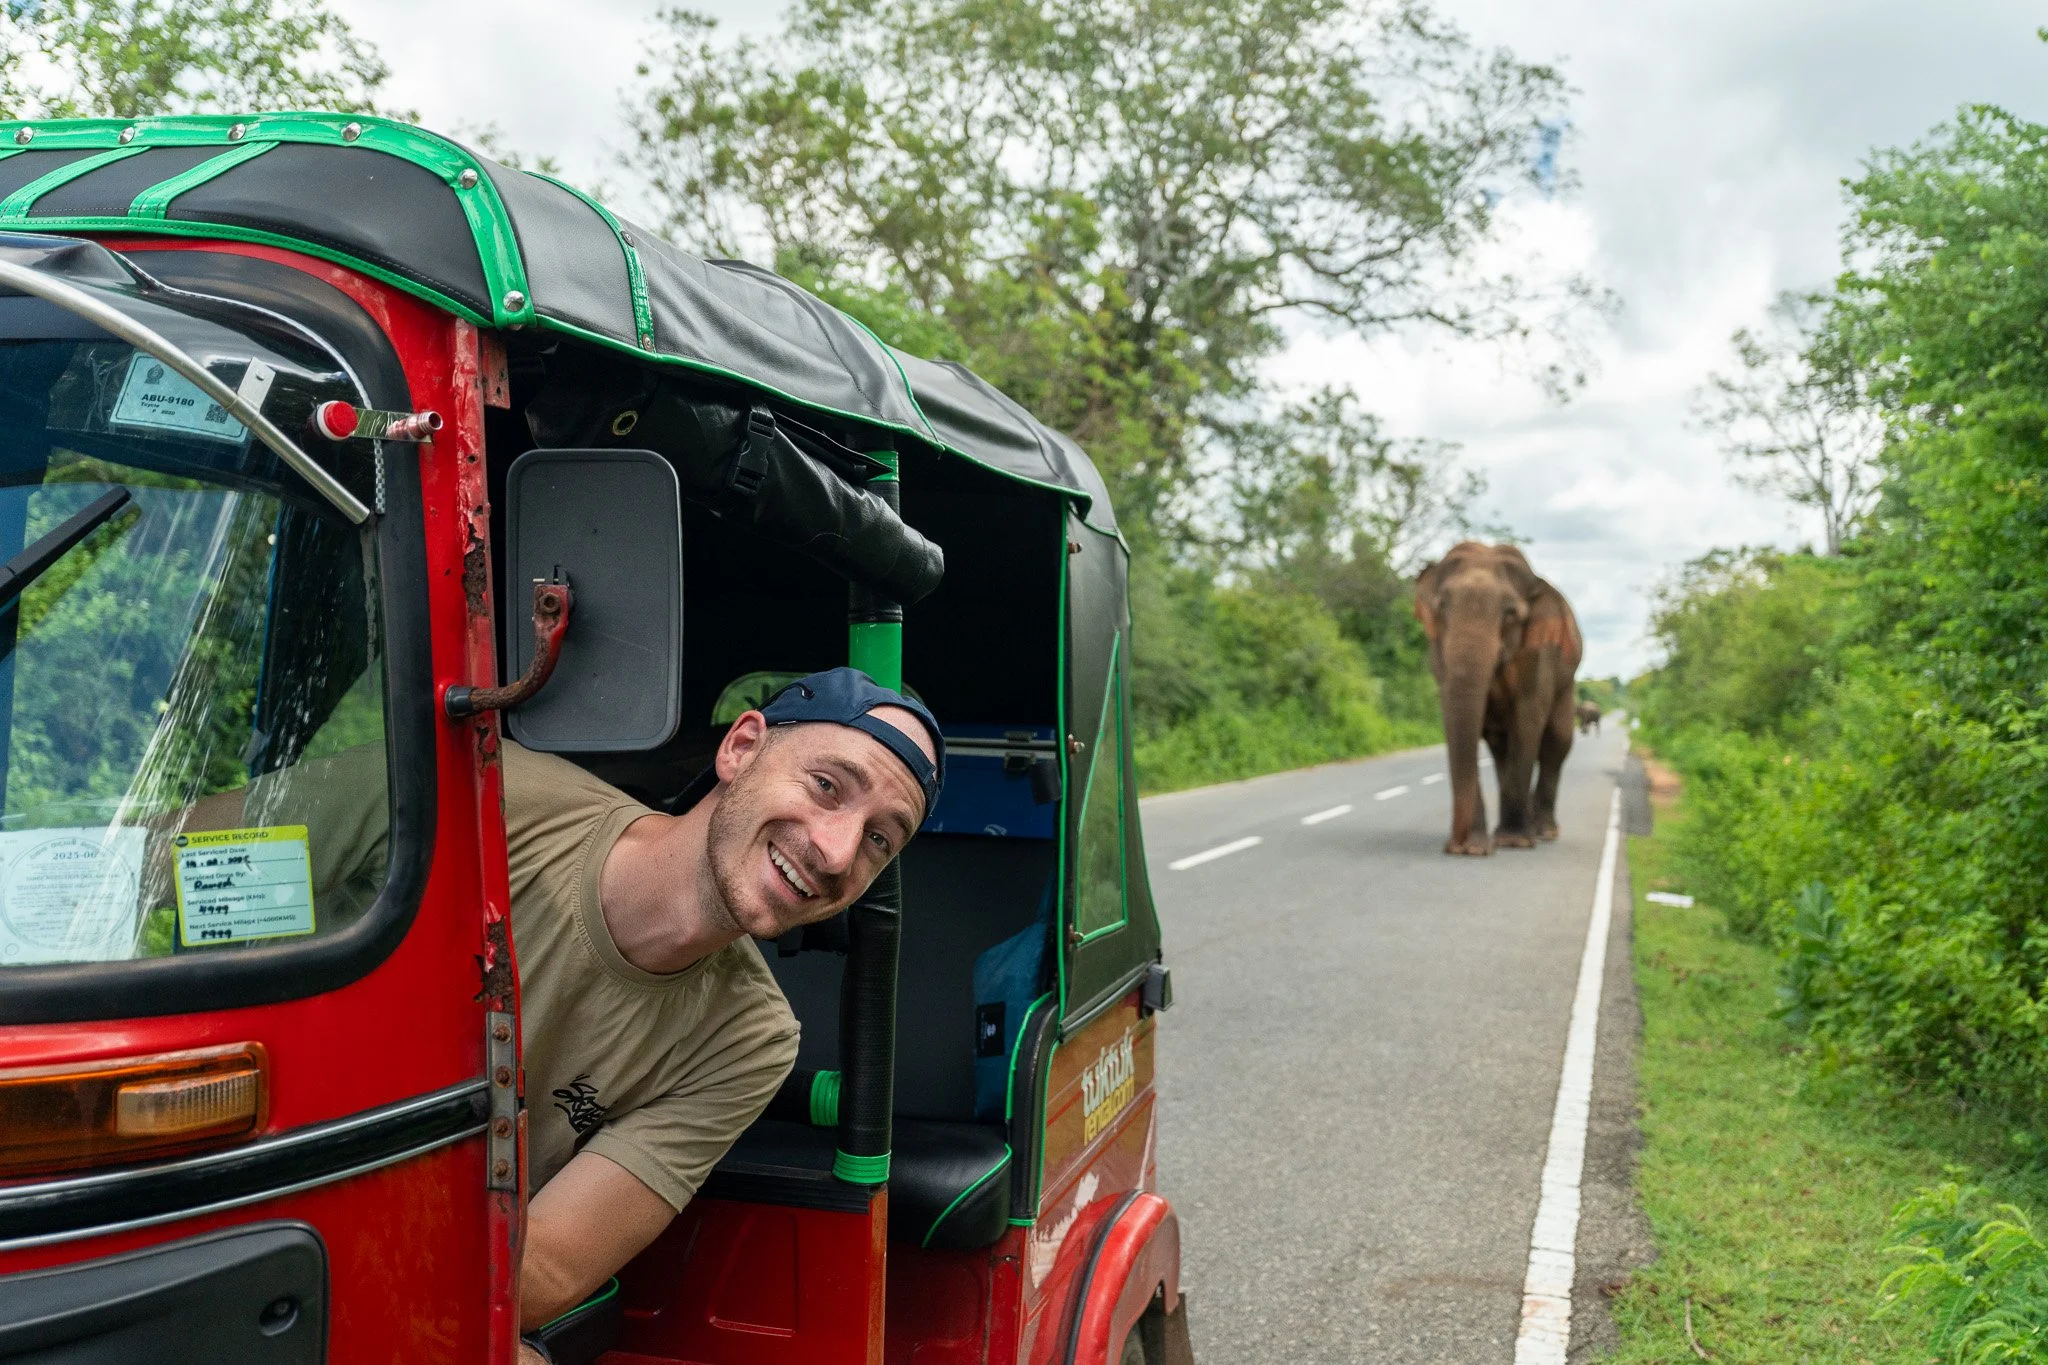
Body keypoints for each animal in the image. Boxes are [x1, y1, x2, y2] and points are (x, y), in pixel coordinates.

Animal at [1414, 542, 1584, 856]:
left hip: (1567, 681)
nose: (1454, 845)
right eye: (1442, 607)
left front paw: (1514, 842)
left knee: (1557, 742)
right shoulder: (1438, 651)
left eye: (1510, 614)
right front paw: (1475, 849)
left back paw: (1542, 832)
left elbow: (1527, 721)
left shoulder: (1538, 653)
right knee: (1500, 747)